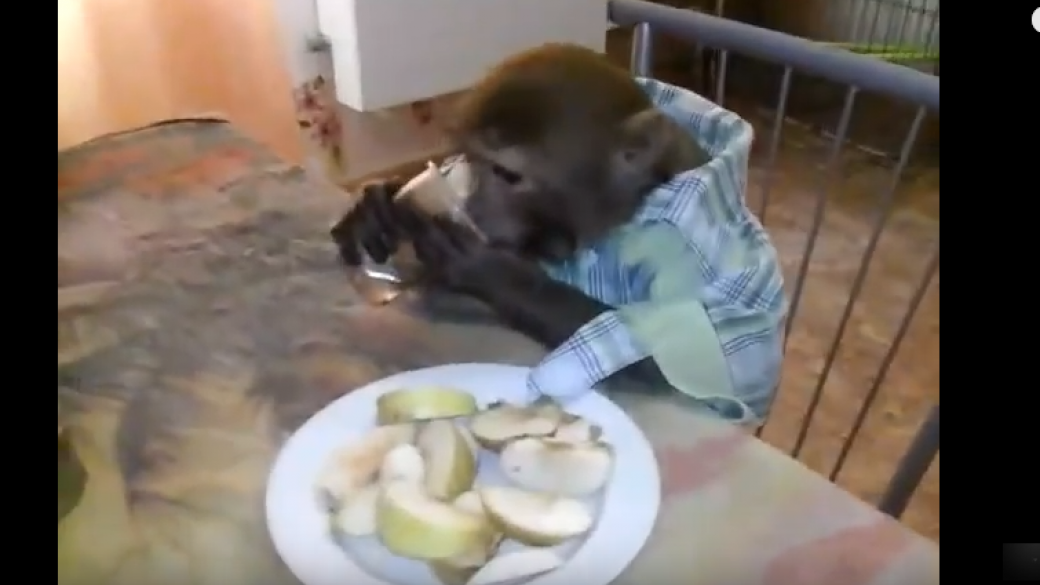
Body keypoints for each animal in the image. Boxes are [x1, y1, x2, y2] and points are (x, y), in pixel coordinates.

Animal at [332, 43, 714, 385]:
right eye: (470, 157)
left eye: (507, 174)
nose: (472, 202)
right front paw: (380, 204)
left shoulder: (682, 238)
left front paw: (481, 267)